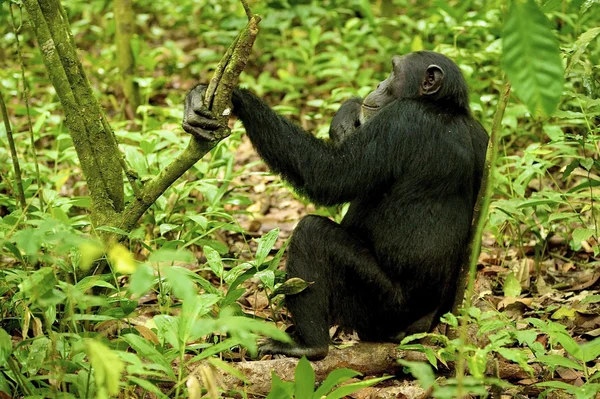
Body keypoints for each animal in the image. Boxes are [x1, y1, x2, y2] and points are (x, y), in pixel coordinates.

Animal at [185, 51, 490, 360]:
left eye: (393, 72)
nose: (379, 84)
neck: (444, 108)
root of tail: (417, 330)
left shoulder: (403, 119)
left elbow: (329, 175)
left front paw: (237, 98)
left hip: (377, 307)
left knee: (313, 232)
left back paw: (309, 345)